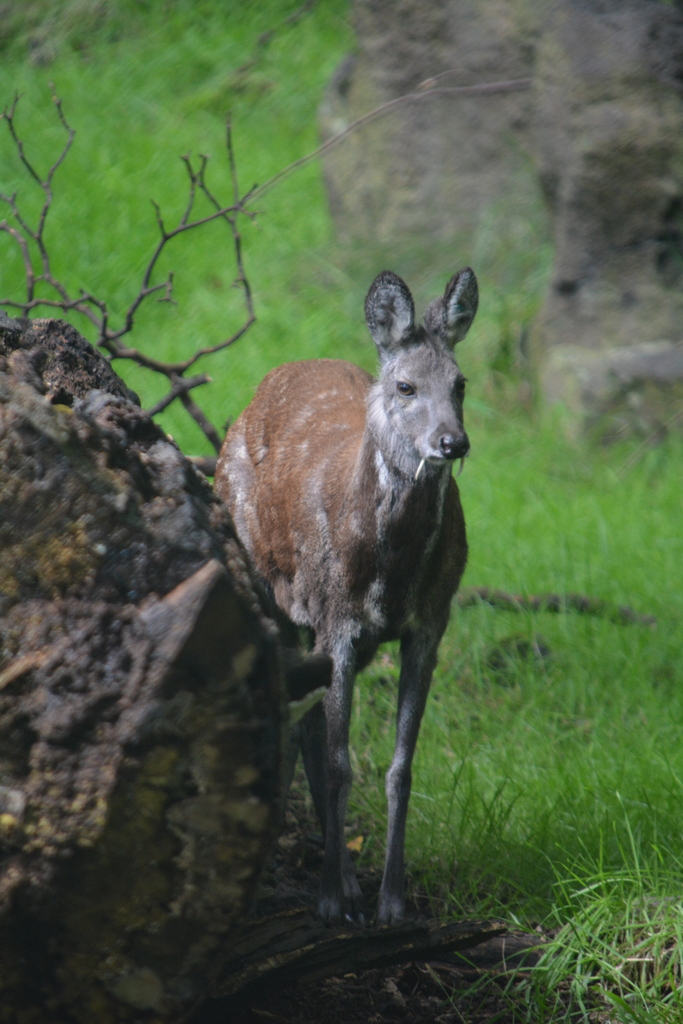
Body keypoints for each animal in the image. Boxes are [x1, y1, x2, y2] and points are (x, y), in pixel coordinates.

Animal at [216, 268, 479, 925]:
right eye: (406, 385)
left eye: (461, 382)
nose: (452, 442)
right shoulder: (336, 621)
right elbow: (339, 764)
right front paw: (332, 900)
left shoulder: (428, 624)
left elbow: (401, 765)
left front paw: (391, 900)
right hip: (275, 590)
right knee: (298, 722)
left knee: (308, 722)